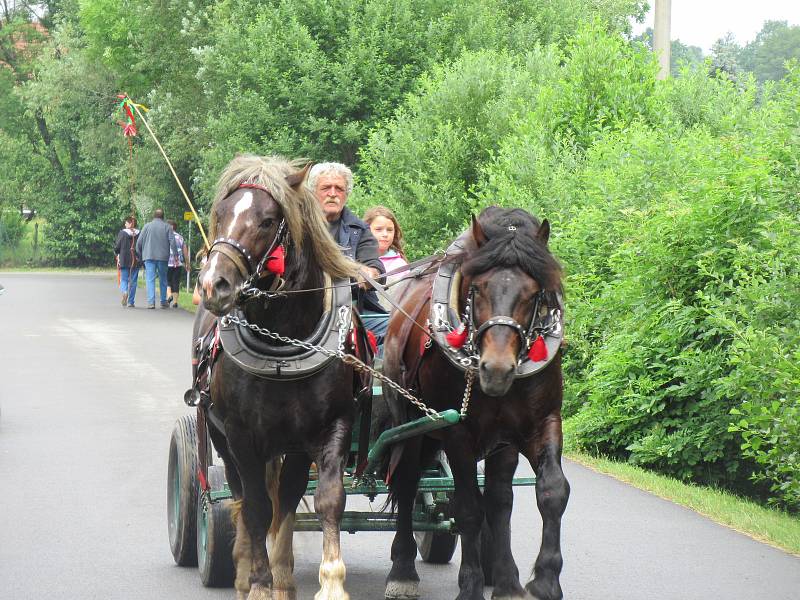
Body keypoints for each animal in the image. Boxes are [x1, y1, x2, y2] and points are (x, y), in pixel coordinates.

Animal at [195, 156, 358, 600]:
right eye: (220, 213)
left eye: (267, 221)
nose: (212, 284)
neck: (285, 341)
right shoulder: (240, 436)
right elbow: (254, 508)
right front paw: (259, 583)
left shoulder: (330, 429)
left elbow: (324, 500)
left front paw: (328, 583)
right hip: (220, 438)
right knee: (239, 497)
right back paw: (242, 570)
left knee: (286, 496)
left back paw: (283, 575)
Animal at [382, 207, 568, 600]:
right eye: (477, 288)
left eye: (534, 293)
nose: (496, 369)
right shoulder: (457, 432)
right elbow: (467, 507)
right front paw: (469, 585)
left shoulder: (539, 424)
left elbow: (549, 492)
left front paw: (539, 581)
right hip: (412, 428)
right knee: (407, 484)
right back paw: (402, 568)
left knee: (499, 500)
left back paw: (505, 578)